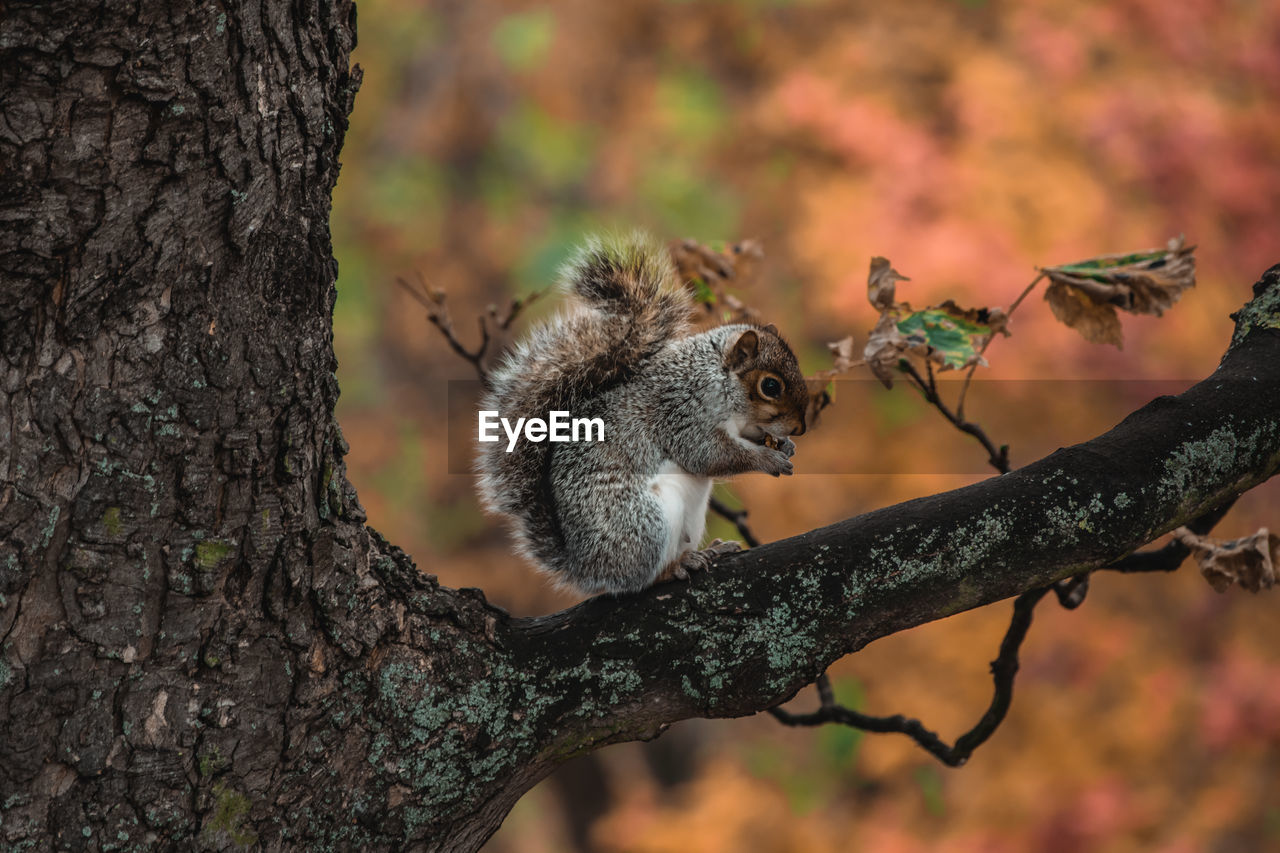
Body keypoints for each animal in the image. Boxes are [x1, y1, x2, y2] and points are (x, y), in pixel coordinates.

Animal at [476, 229, 803, 594]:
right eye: (770, 386)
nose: (800, 427)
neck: (715, 377)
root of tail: (585, 566)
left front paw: (784, 445)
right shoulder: (681, 411)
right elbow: (708, 454)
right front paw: (768, 459)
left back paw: (711, 551)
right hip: (645, 523)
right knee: (641, 578)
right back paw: (675, 567)